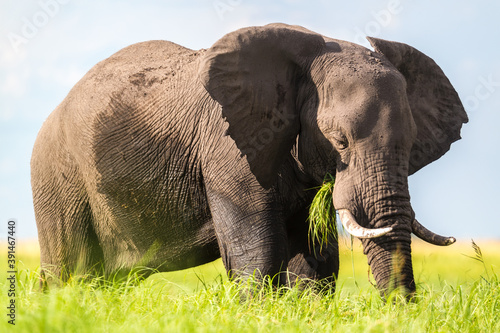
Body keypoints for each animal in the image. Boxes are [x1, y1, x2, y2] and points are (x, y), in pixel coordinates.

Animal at [31, 23, 466, 296]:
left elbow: (316, 260)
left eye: (411, 145)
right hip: (56, 177)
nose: (402, 310)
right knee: (70, 272)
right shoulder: (229, 145)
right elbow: (256, 256)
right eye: (340, 142)